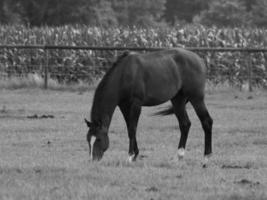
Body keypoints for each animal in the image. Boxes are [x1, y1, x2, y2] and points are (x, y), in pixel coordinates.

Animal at [85, 48, 215, 164]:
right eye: (88, 139)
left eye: (99, 139)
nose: (93, 160)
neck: (124, 74)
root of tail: (200, 60)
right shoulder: (124, 106)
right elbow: (129, 128)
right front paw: (135, 155)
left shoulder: (136, 104)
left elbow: (132, 129)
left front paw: (130, 156)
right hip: (178, 100)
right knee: (185, 124)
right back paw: (179, 156)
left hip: (196, 98)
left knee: (206, 122)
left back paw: (206, 158)